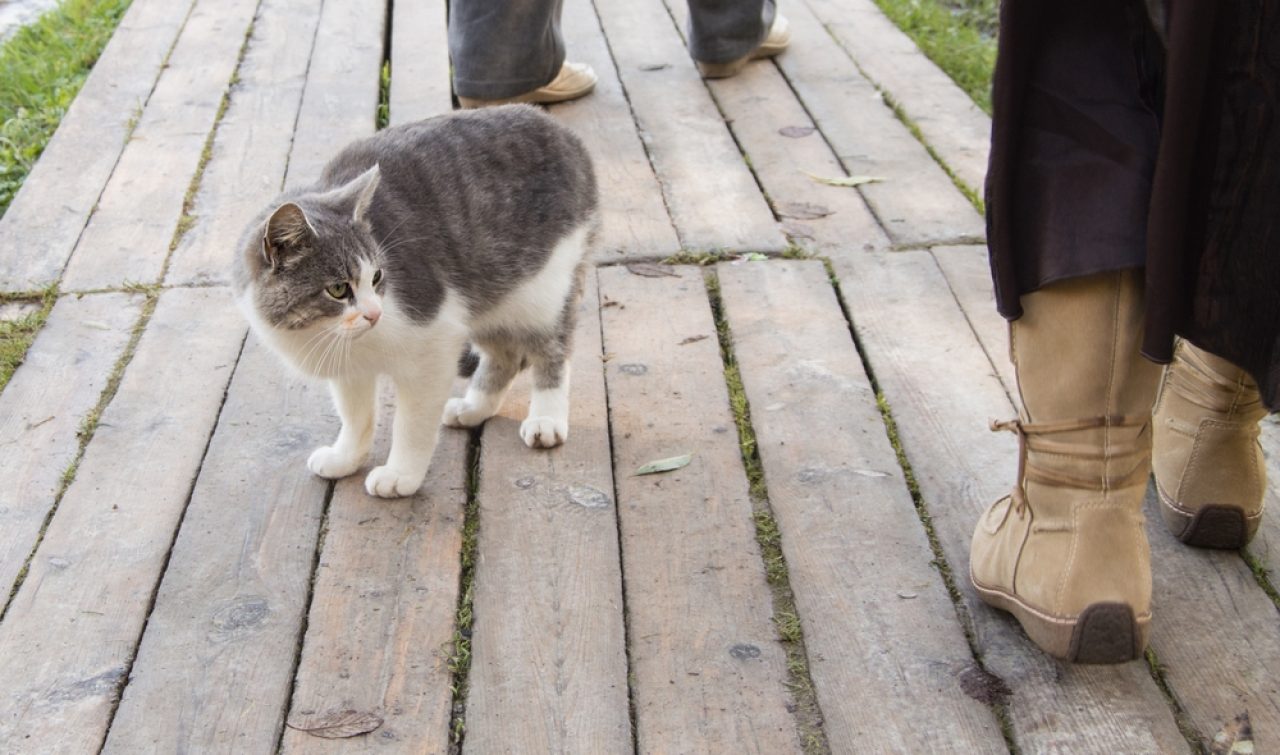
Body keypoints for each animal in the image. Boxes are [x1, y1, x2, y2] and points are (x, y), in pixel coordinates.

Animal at [232, 104, 596, 496]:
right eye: (339, 289)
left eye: (376, 277)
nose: (374, 313)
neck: (322, 335)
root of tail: (558, 129)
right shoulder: (349, 368)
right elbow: (355, 414)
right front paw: (346, 457)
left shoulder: (434, 344)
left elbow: (412, 424)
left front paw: (400, 474)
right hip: (490, 296)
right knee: (507, 354)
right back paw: (474, 408)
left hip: (542, 288)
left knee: (551, 349)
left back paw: (546, 418)